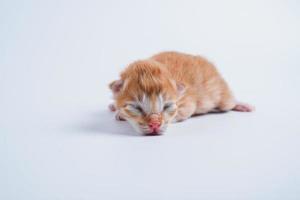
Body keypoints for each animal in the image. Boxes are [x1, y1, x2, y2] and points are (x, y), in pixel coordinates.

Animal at [108, 51, 253, 136]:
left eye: (167, 106)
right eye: (136, 108)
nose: (155, 124)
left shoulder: (186, 104)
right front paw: (118, 111)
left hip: (223, 97)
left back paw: (242, 105)